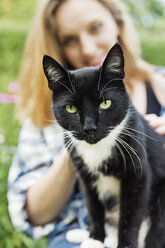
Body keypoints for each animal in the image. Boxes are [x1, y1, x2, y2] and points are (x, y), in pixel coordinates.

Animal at [43, 44, 165, 248]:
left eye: (105, 103)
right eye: (71, 108)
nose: (89, 128)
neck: (97, 150)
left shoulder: (138, 175)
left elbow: (130, 217)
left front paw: (124, 244)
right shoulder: (85, 177)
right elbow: (93, 207)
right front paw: (95, 238)